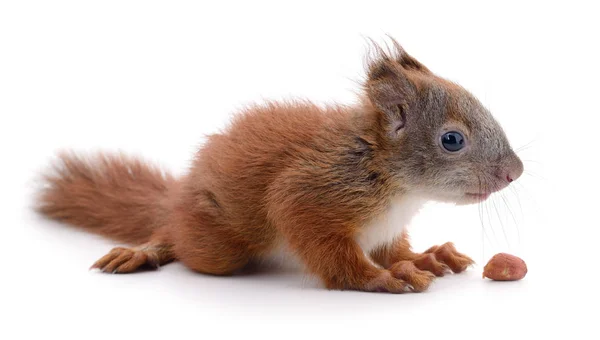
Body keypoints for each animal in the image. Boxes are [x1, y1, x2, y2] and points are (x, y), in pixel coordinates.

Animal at [37, 39, 524, 292]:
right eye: (452, 140)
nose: (514, 172)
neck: (395, 183)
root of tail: (179, 196)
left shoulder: (386, 228)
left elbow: (394, 249)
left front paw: (425, 256)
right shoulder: (310, 194)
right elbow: (328, 250)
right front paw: (378, 278)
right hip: (218, 248)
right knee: (176, 237)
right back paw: (146, 248)